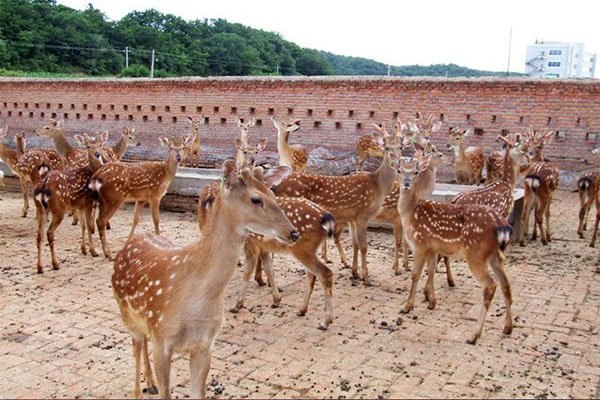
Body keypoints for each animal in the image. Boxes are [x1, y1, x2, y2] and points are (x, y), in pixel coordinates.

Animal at [33, 133, 108, 274]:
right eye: (87, 146)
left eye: (100, 144)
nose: (97, 154)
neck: (91, 171)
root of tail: (43, 186)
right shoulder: (88, 202)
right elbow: (89, 226)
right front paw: (93, 251)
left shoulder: (78, 204)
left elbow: (82, 225)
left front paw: (83, 250)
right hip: (58, 209)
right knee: (49, 233)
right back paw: (55, 264)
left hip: (40, 209)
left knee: (39, 235)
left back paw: (40, 268)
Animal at [110, 162, 298, 400]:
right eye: (256, 199)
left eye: (273, 194)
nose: (293, 232)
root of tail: (132, 241)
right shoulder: (162, 339)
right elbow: (165, 392)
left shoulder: (205, 345)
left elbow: (198, 393)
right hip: (127, 315)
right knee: (136, 345)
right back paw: (141, 388)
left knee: (142, 342)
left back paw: (150, 383)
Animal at [274, 122, 404, 284]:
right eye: (386, 147)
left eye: (401, 146)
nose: (395, 163)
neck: (378, 186)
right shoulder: (362, 215)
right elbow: (364, 246)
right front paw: (366, 278)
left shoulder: (353, 218)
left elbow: (355, 244)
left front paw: (355, 273)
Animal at [392, 153, 512, 344]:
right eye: (399, 170)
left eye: (416, 171)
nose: (407, 183)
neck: (410, 213)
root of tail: (502, 226)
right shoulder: (433, 247)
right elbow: (431, 270)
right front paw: (432, 301)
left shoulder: (420, 244)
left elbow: (415, 274)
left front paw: (407, 306)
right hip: (495, 255)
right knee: (506, 285)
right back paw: (508, 328)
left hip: (476, 253)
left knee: (490, 286)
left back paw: (474, 335)